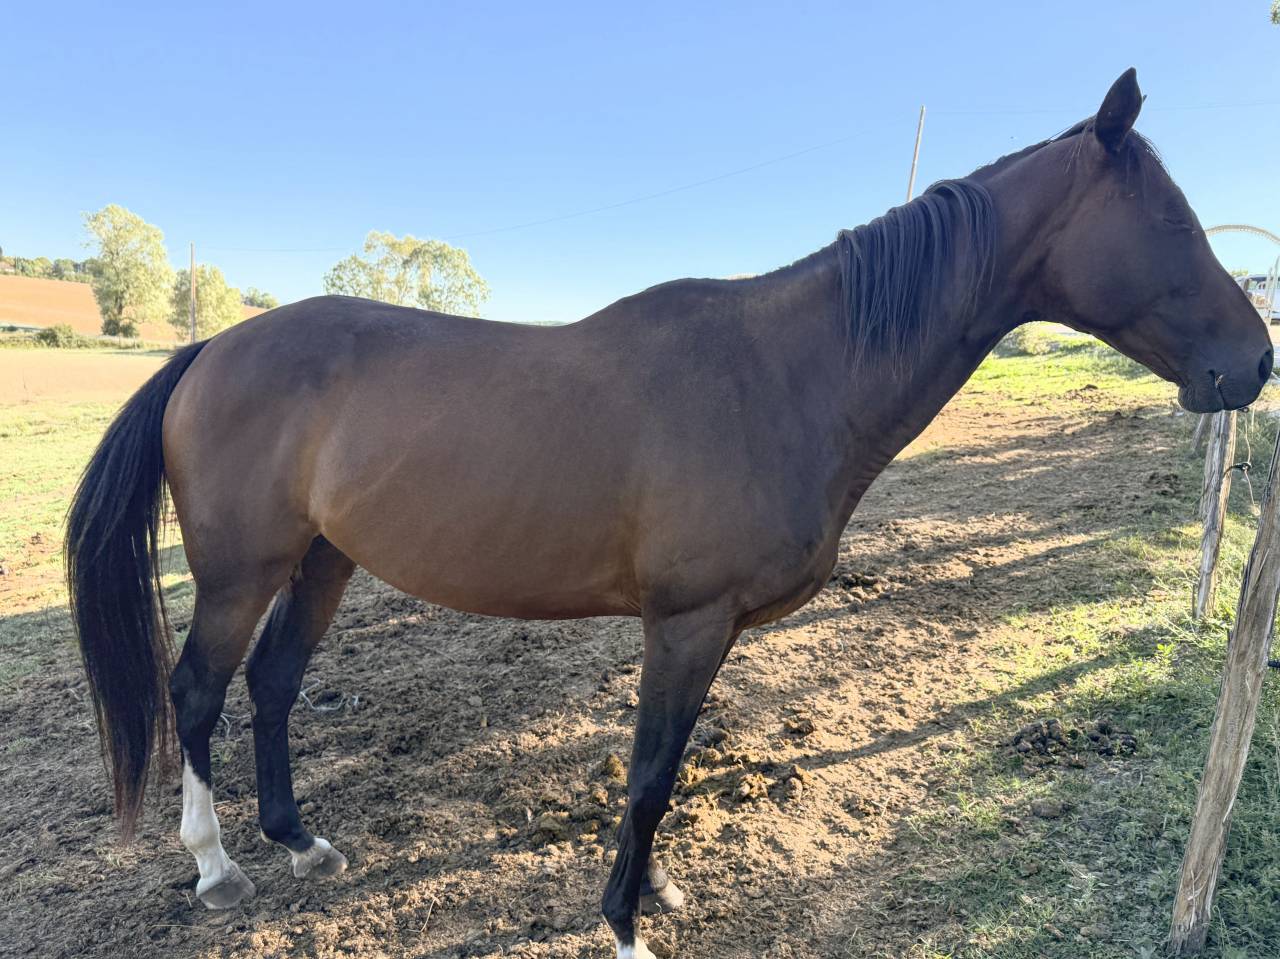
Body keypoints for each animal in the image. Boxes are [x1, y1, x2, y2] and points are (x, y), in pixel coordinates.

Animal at [66, 69, 1270, 958]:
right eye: (1169, 220)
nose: (1252, 362)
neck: (788, 373)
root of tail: (211, 348)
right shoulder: (684, 624)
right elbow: (647, 776)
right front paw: (625, 924)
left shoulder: (709, 631)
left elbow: (669, 771)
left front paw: (652, 891)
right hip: (242, 568)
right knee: (198, 691)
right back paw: (216, 865)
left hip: (323, 558)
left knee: (271, 685)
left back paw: (303, 844)